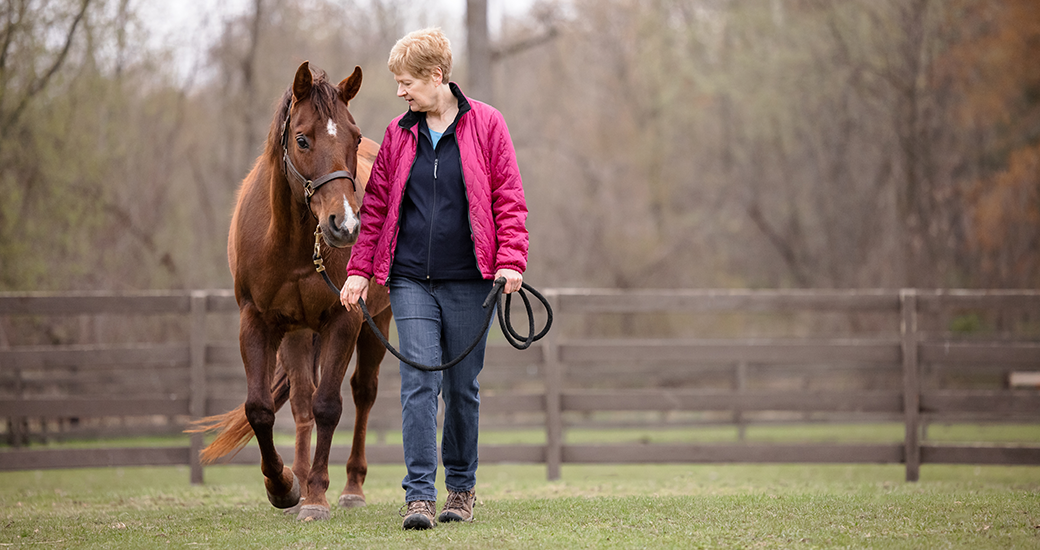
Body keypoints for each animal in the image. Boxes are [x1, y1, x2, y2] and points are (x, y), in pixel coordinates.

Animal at [189, 62, 391, 521]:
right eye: (302, 139)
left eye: (353, 137)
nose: (345, 225)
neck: (292, 242)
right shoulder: (257, 321)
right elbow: (261, 408)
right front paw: (282, 486)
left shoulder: (345, 319)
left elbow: (329, 406)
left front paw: (316, 497)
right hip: (298, 333)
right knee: (300, 401)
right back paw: (297, 476)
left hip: (377, 322)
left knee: (363, 393)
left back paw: (351, 487)